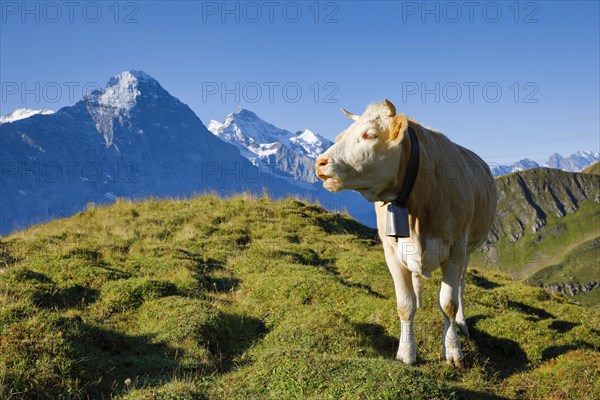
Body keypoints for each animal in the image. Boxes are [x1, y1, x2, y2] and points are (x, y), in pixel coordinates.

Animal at [314, 98, 496, 368]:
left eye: (369, 134)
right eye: (340, 135)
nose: (320, 163)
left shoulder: (455, 250)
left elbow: (448, 304)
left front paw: (453, 351)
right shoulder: (391, 251)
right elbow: (405, 304)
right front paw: (406, 352)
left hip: (469, 249)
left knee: (461, 286)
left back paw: (462, 323)